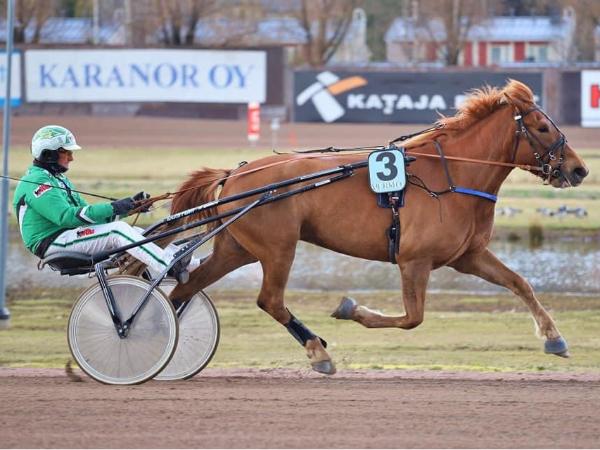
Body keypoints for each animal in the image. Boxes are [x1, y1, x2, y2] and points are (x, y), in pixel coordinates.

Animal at [167, 79, 588, 375]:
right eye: (542, 127)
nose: (579, 169)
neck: (451, 175)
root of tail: (235, 173)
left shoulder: (468, 256)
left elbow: (520, 283)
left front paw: (555, 338)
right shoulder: (414, 261)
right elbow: (412, 318)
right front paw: (351, 309)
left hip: (236, 248)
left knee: (185, 288)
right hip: (277, 248)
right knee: (269, 300)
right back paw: (318, 352)